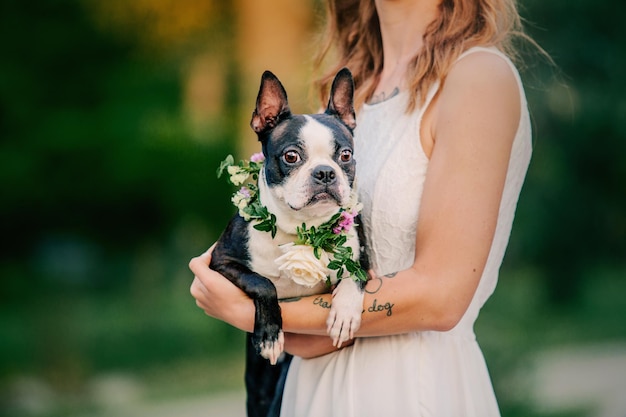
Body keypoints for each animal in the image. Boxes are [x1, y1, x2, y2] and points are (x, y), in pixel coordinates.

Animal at [210, 69, 366, 416]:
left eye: (346, 155)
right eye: (291, 156)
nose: (325, 172)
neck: (301, 229)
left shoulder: (363, 260)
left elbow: (353, 280)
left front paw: (345, 314)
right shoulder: (221, 262)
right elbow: (263, 283)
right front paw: (269, 336)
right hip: (259, 388)